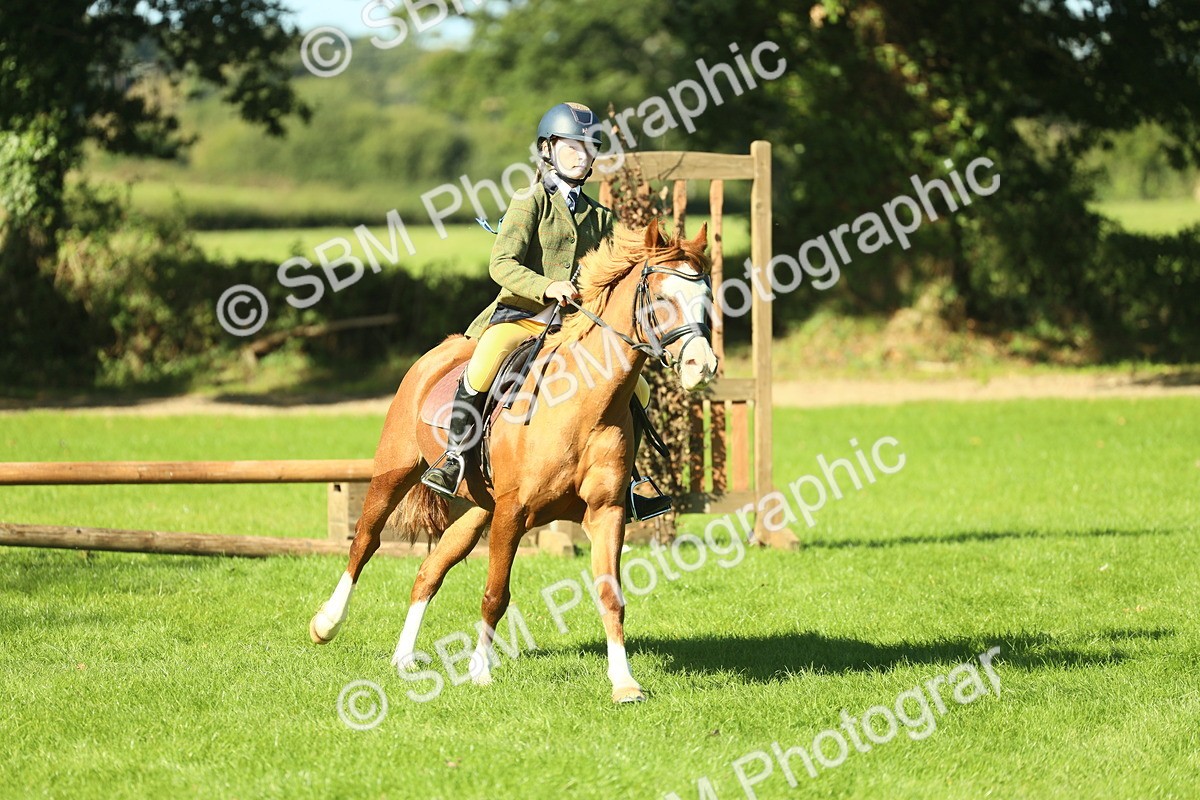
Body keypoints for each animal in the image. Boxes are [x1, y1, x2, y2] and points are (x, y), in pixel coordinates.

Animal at [308, 218, 718, 703]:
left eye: (707, 298)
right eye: (660, 298)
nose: (702, 366)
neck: (585, 404)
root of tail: (443, 349)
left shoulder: (606, 511)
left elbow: (609, 594)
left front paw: (624, 683)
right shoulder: (513, 511)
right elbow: (495, 594)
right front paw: (480, 671)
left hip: (477, 510)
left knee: (430, 569)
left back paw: (404, 658)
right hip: (395, 474)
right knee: (365, 542)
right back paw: (327, 624)